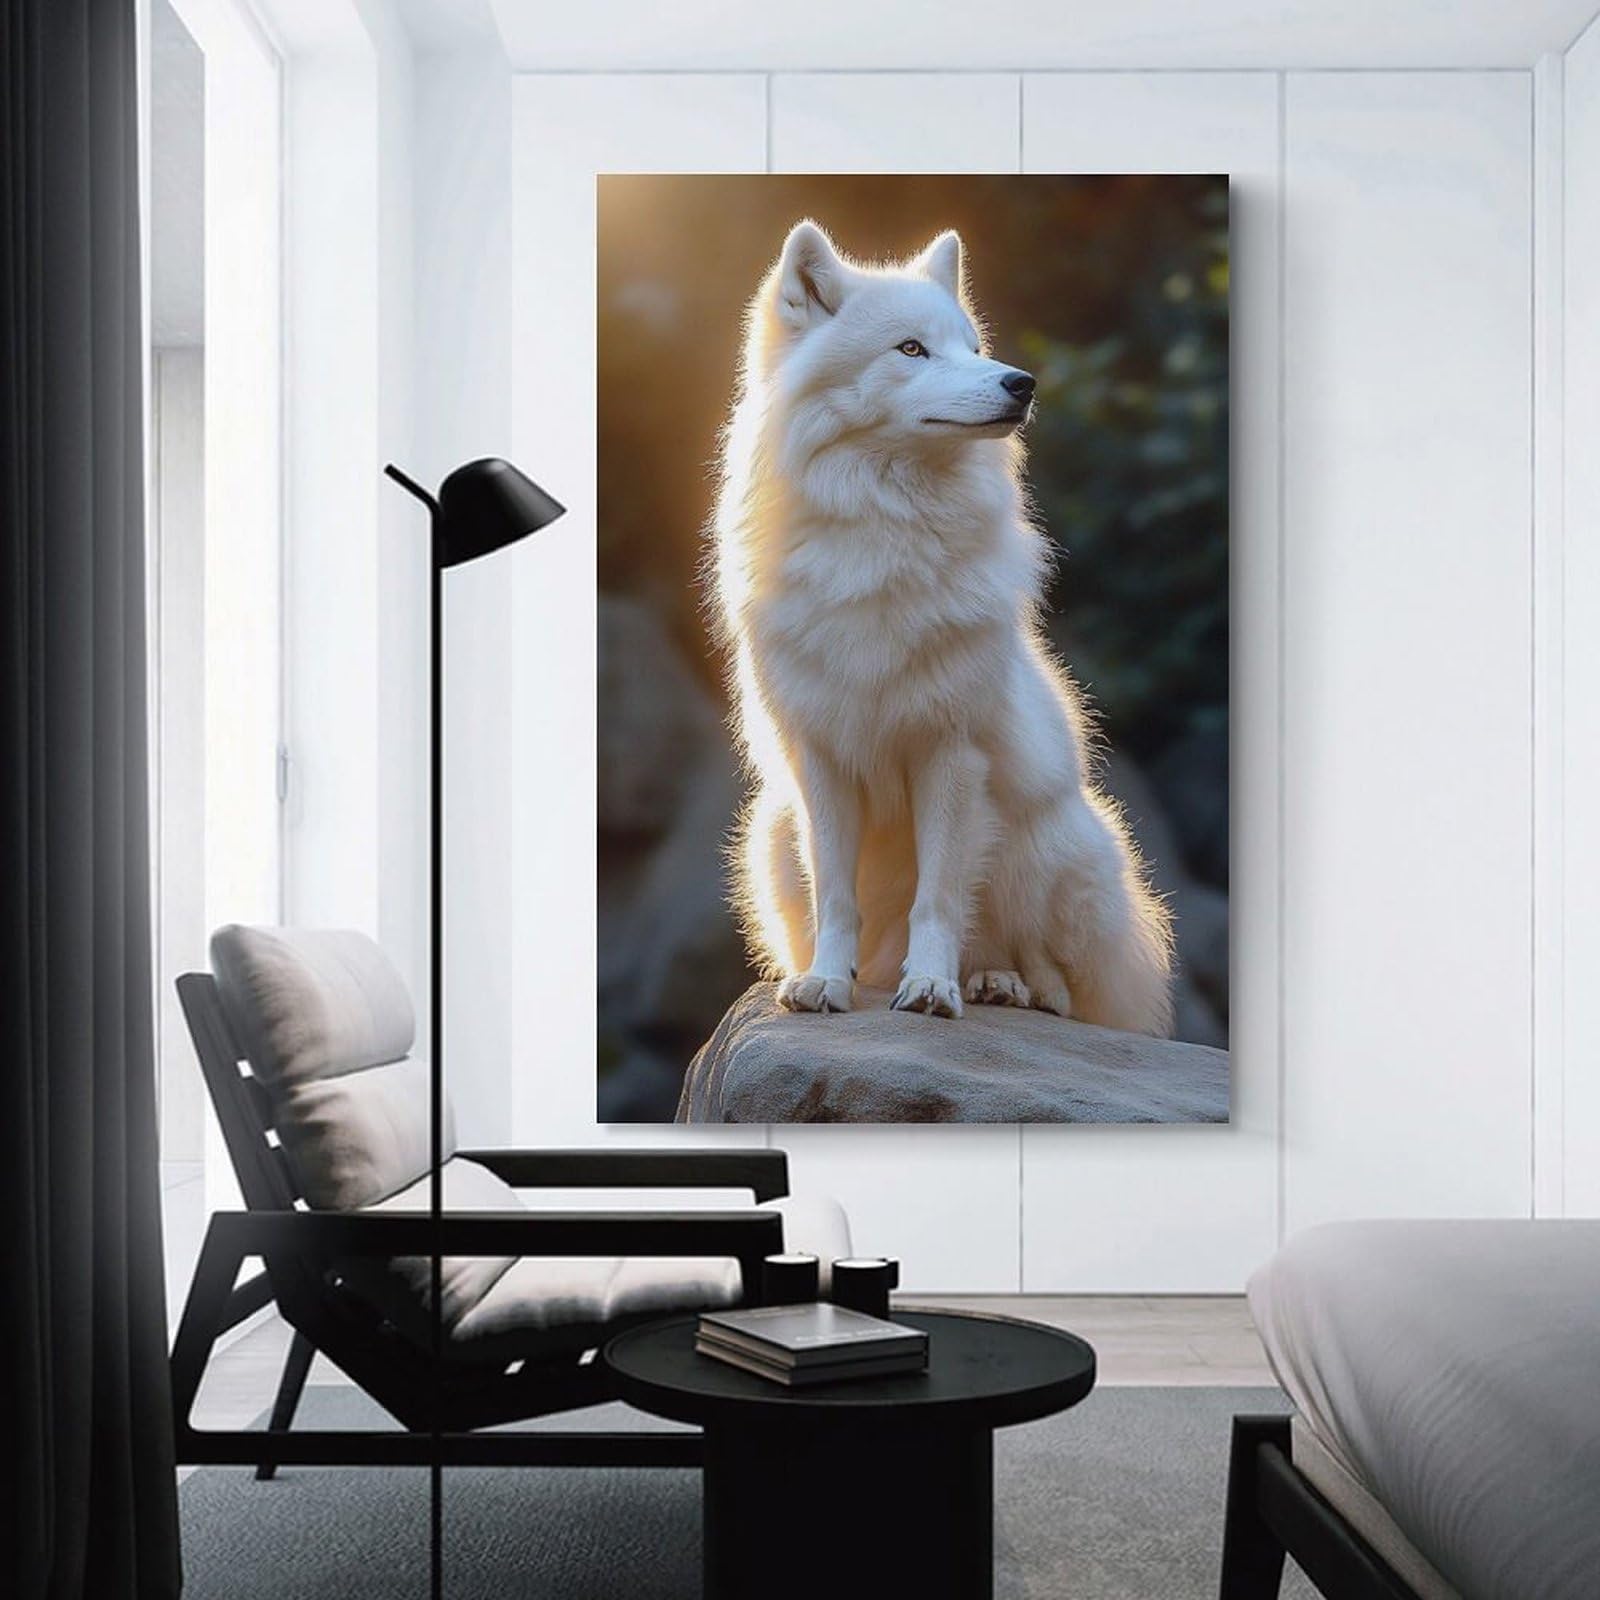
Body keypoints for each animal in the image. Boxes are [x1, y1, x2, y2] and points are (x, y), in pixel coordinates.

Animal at [707, 219, 1173, 1033]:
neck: (883, 534)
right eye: (911, 349)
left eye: (972, 346)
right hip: (772, 835)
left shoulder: (950, 755)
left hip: (1047, 843)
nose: (1022, 383)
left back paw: (1000, 983)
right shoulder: (822, 763)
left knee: (1055, 978)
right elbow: (838, 898)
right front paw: (825, 983)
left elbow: (939, 900)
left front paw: (930, 987)